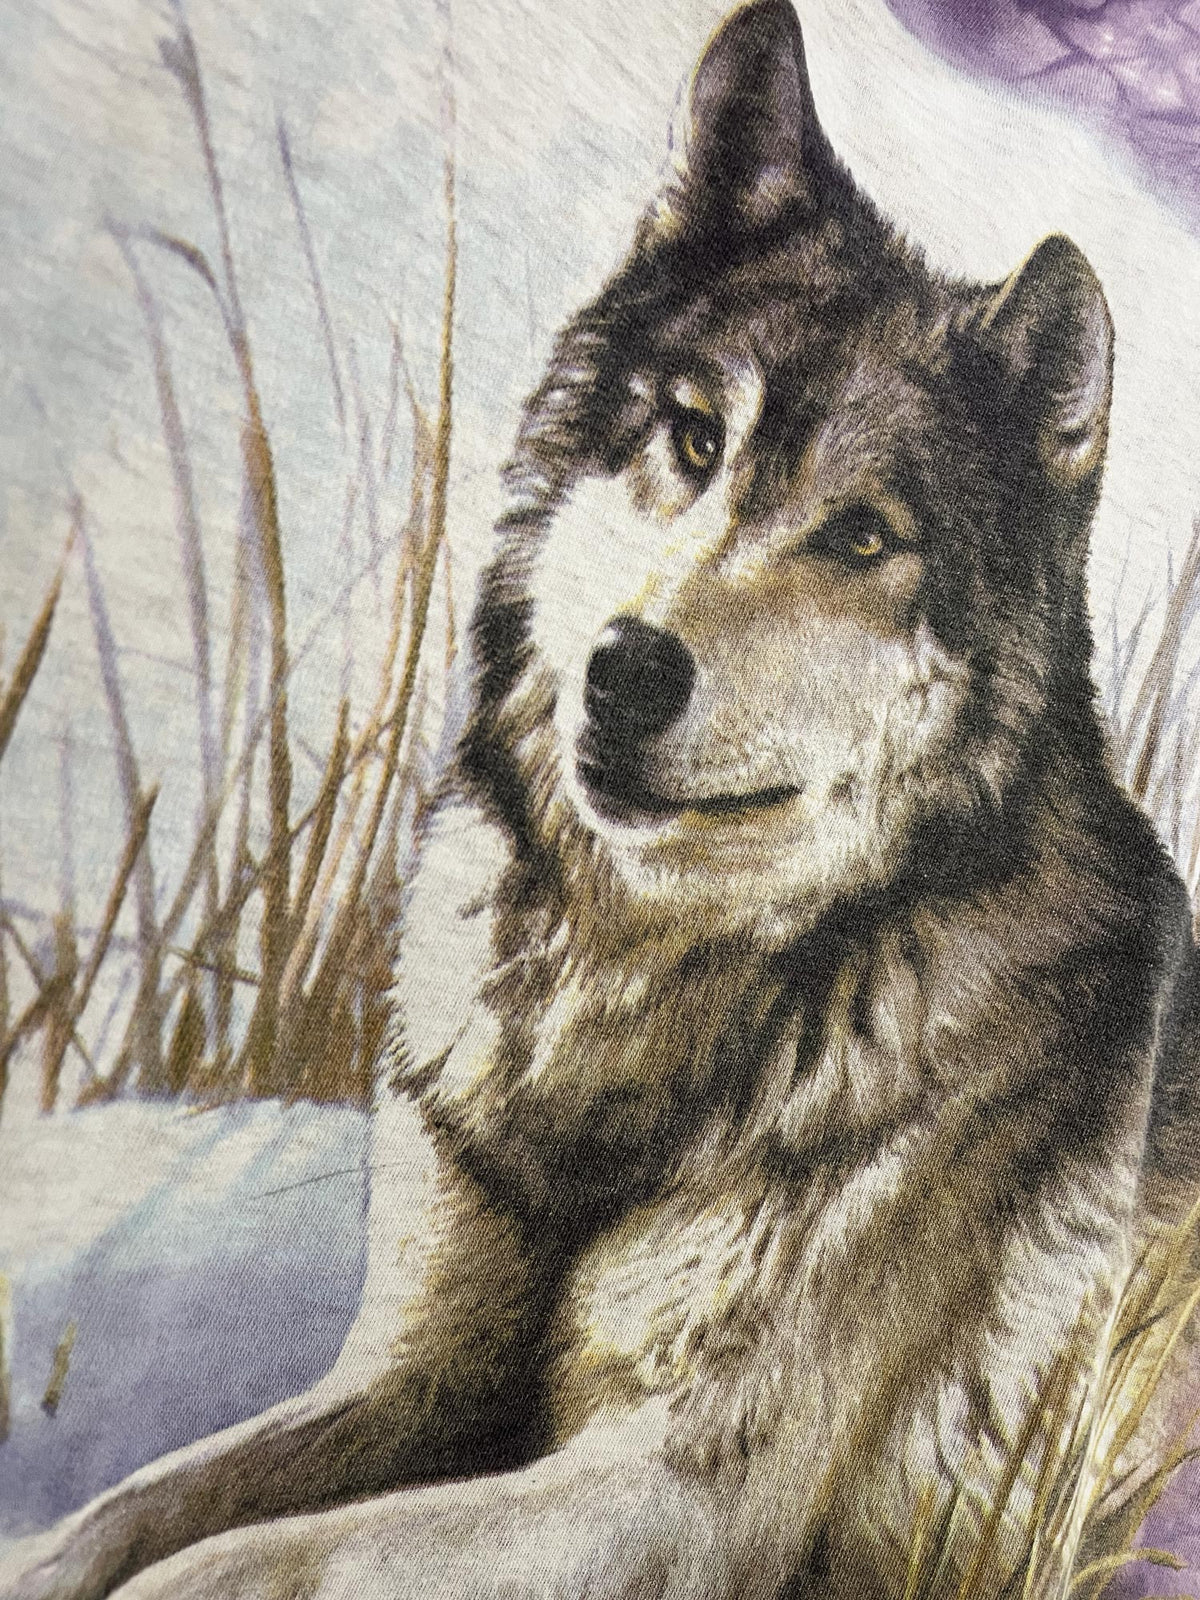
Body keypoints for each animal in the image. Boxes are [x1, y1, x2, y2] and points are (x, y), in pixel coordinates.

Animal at [4, 0, 1199, 1596]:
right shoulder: (412, 1380)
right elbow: (128, 1513)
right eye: (693, 438)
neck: (635, 1002)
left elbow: (253, 1560)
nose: (628, 672)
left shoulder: (684, 1492)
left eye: (863, 535)